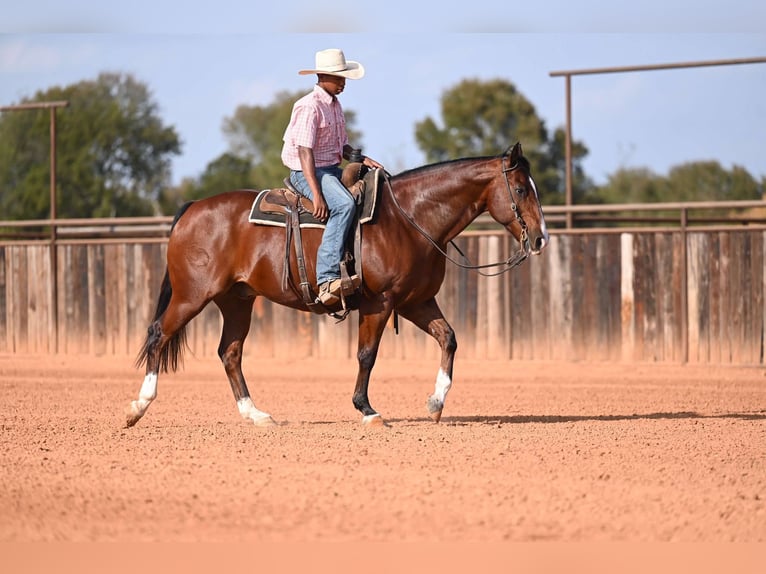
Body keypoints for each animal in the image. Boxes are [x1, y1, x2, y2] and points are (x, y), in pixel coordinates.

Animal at [126, 142, 549, 428]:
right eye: (521, 189)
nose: (541, 238)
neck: (409, 218)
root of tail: (191, 209)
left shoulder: (416, 302)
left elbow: (449, 338)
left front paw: (435, 403)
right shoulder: (381, 302)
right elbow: (367, 355)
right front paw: (367, 409)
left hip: (237, 301)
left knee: (229, 352)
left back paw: (256, 414)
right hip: (192, 295)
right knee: (158, 333)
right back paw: (138, 407)